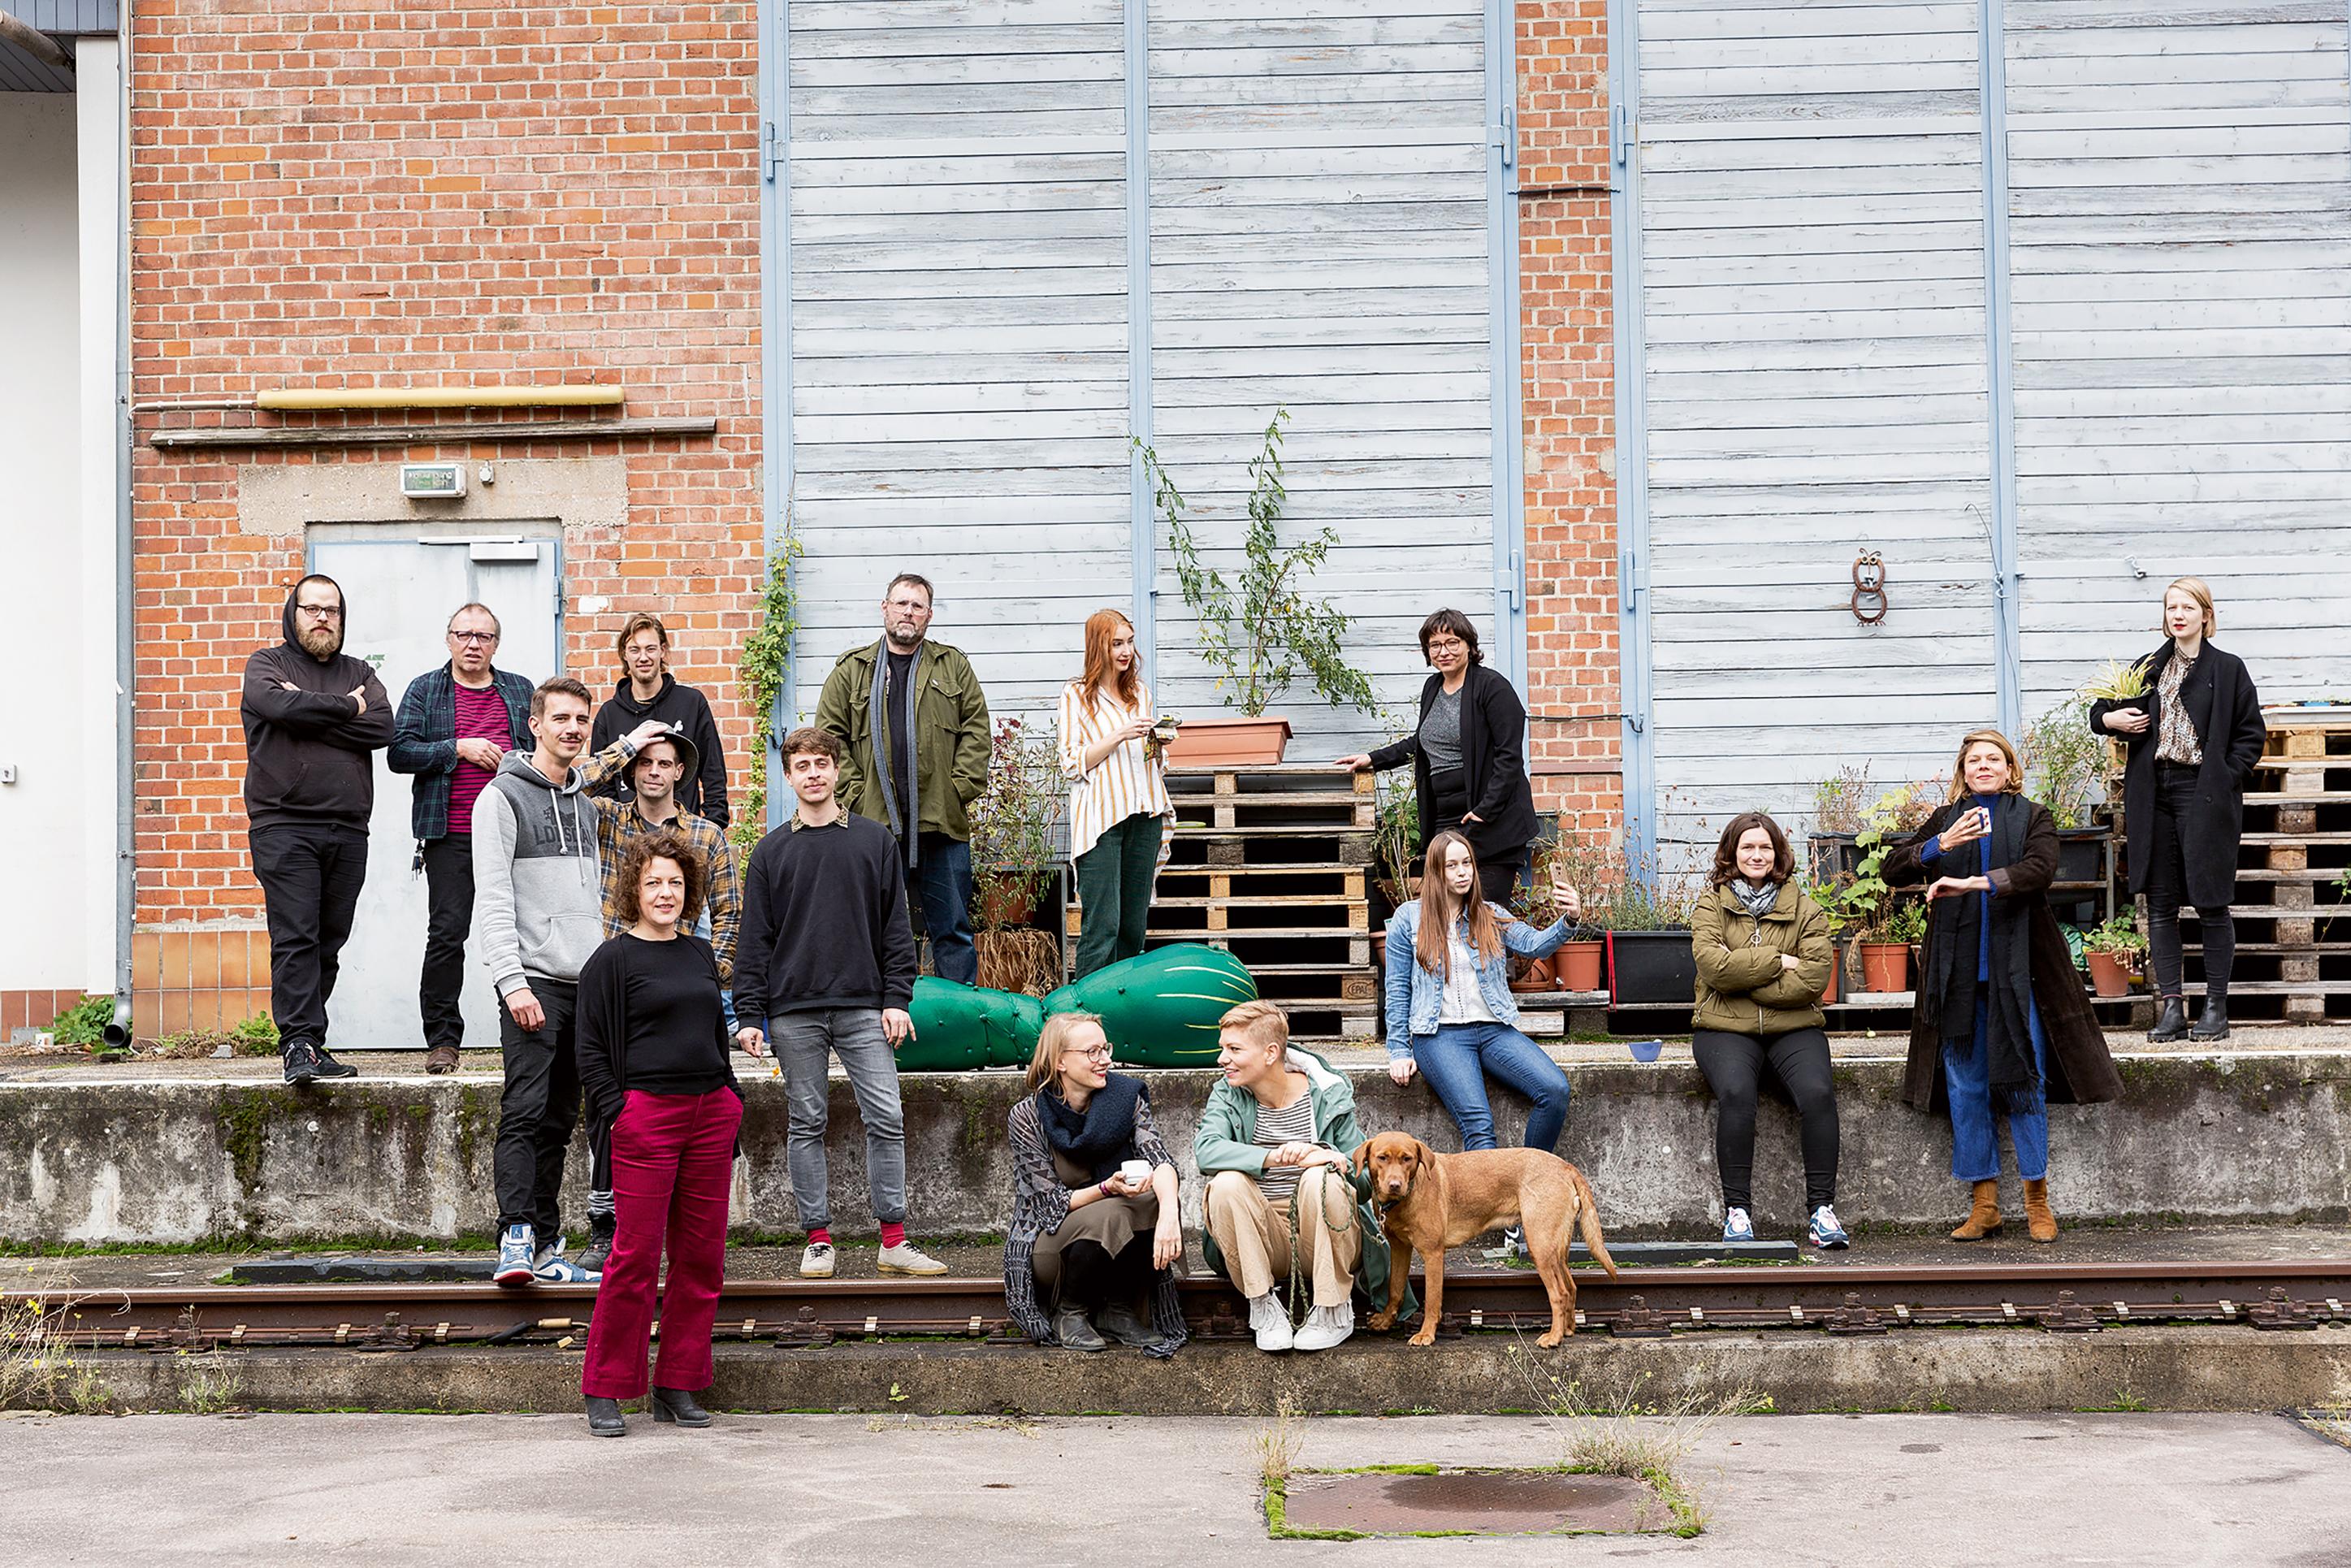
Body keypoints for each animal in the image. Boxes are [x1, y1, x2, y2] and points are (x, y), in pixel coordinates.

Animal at [1344, 1133, 1617, 1345]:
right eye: (1382, 1158)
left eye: (1407, 1159)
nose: (1394, 1185)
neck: (1408, 1195)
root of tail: (1565, 1165)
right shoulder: (1400, 1248)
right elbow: (1395, 1289)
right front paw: (1385, 1320)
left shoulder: (1433, 1253)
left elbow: (1432, 1300)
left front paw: (1426, 1334)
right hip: (1555, 1246)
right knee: (1571, 1286)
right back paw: (1568, 1331)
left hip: (1539, 1243)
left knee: (1559, 1293)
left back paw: (1553, 1337)